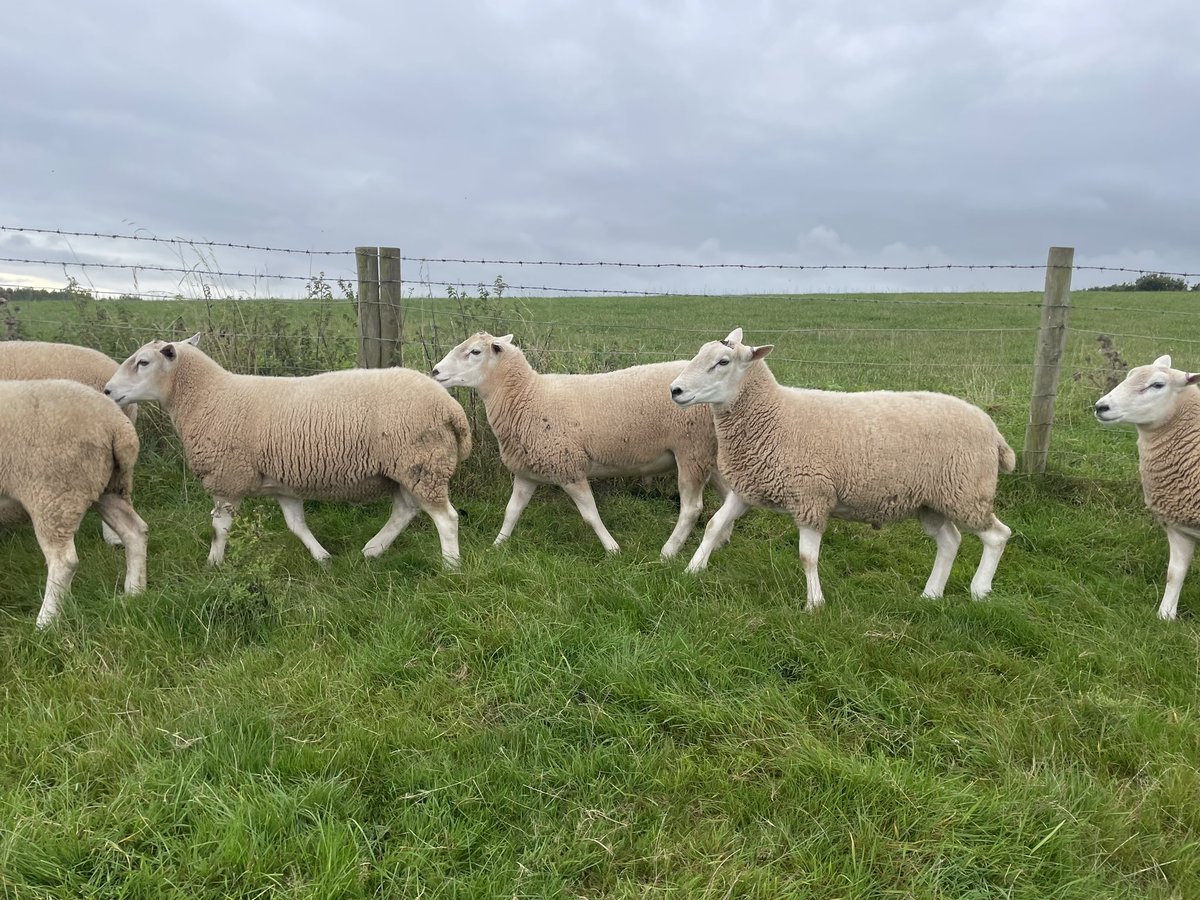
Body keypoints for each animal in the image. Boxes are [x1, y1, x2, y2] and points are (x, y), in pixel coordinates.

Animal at [0, 379, 148, 628]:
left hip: (54, 494)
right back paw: (134, 592)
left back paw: (46, 621)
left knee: (64, 561)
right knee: (135, 532)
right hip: (108, 486)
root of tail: (118, 426)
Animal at [103, 334, 471, 567]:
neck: (207, 397)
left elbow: (218, 528)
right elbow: (297, 526)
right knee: (406, 509)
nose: (107, 391)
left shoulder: (228, 479)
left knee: (445, 518)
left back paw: (451, 565)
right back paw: (373, 550)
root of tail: (451, 408)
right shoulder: (284, 484)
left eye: (143, 362)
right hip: (410, 467)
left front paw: (213, 565)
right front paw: (322, 557)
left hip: (421, 462)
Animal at [431, 332, 723, 557]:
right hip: (711, 451)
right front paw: (497, 545)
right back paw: (721, 541)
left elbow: (590, 514)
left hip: (691, 449)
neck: (527, 396)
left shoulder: (568, 467)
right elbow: (511, 511)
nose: (434, 371)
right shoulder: (528, 471)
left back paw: (669, 551)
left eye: (475, 352)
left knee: (691, 509)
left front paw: (612, 548)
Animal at [669, 328, 1015, 610]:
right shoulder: (747, 488)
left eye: (723, 362)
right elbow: (714, 525)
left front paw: (814, 605)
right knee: (950, 541)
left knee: (997, 536)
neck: (774, 416)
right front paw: (691, 569)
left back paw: (980, 590)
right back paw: (930, 595)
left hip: (966, 491)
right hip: (932, 501)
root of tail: (993, 431)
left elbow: (807, 557)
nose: (675, 390)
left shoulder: (811, 497)